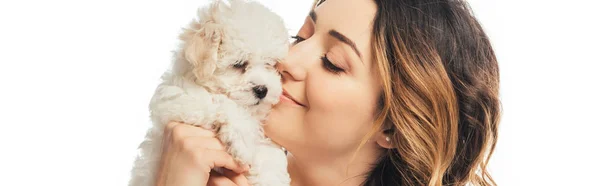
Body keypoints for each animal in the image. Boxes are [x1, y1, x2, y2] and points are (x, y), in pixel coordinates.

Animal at [129, 0, 290, 185]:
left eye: (271, 64)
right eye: (239, 64)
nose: (262, 90)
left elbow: (269, 154)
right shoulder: (175, 98)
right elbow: (221, 102)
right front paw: (242, 141)